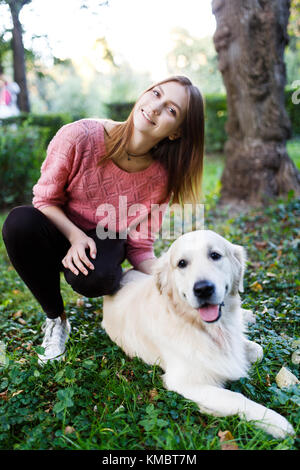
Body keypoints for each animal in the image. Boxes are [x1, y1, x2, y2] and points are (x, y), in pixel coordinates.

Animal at [102, 229, 294, 438]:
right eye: (182, 263)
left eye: (215, 255)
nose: (203, 289)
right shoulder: (182, 381)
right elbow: (235, 397)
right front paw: (275, 422)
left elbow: (258, 351)